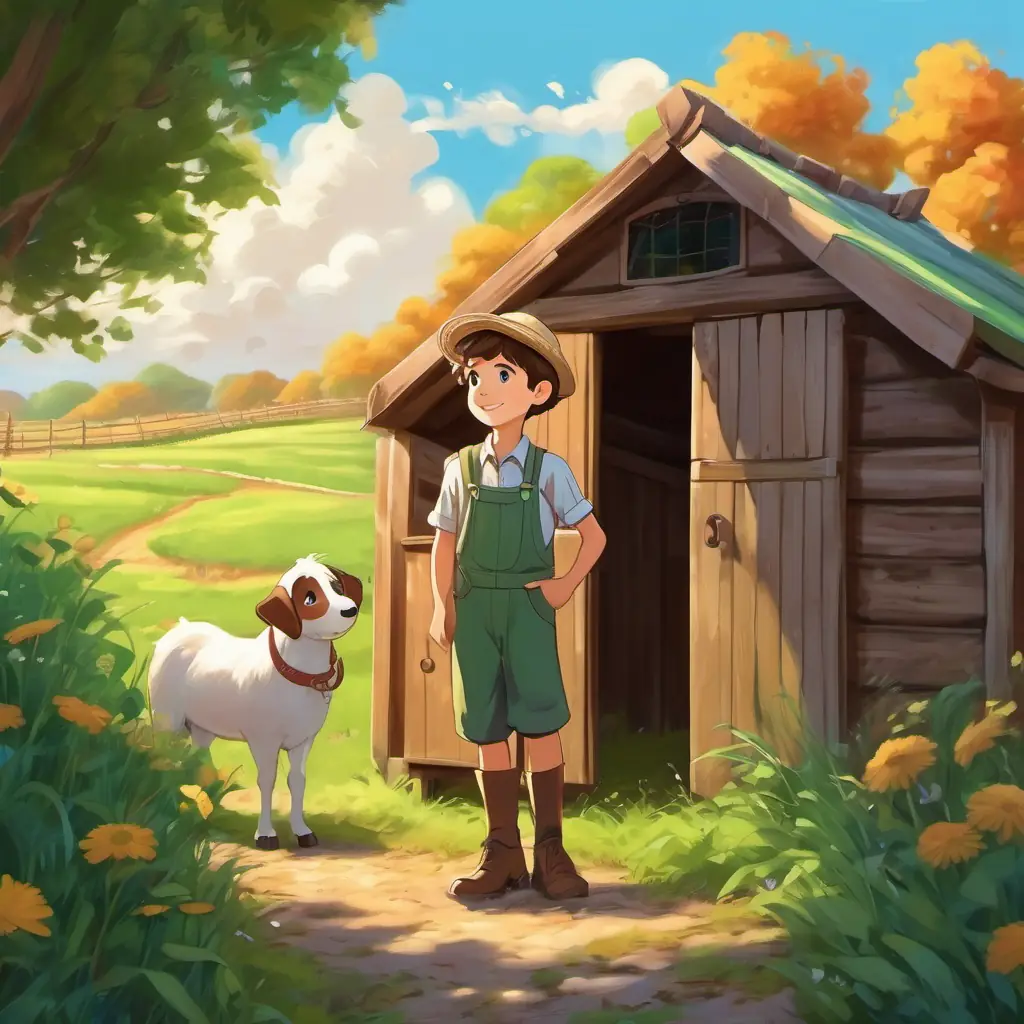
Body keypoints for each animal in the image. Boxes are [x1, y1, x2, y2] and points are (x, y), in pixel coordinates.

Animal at [148, 557, 362, 851]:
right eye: (309, 598)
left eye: (336, 586)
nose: (350, 609)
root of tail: (180, 628)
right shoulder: (263, 740)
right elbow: (267, 780)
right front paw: (265, 835)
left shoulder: (303, 741)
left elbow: (297, 781)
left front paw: (303, 832)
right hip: (166, 721)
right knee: (165, 761)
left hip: (202, 728)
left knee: (198, 763)